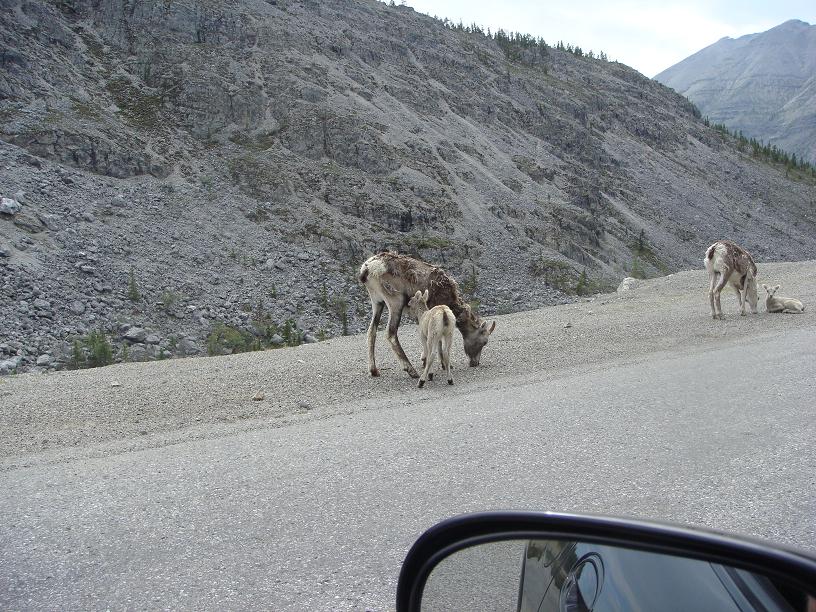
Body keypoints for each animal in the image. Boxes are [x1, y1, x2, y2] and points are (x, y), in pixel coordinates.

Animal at [358, 251, 496, 378]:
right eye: (484, 342)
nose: (475, 363)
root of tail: (367, 269)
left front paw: (425, 360)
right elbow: (438, 340)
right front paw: (443, 364)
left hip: (377, 302)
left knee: (372, 331)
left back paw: (374, 370)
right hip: (395, 301)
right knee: (391, 333)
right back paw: (411, 370)